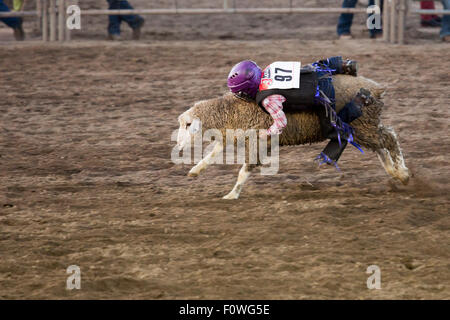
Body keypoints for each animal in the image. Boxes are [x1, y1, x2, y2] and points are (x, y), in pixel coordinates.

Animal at [178, 75, 410, 200]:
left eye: (188, 125)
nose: (178, 146)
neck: (231, 110)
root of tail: (376, 88)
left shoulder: (259, 141)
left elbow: (244, 171)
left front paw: (232, 195)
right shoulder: (234, 136)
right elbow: (212, 155)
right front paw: (195, 170)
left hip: (361, 123)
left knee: (389, 138)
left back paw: (404, 174)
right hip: (362, 127)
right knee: (380, 145)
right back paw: (394, 172)